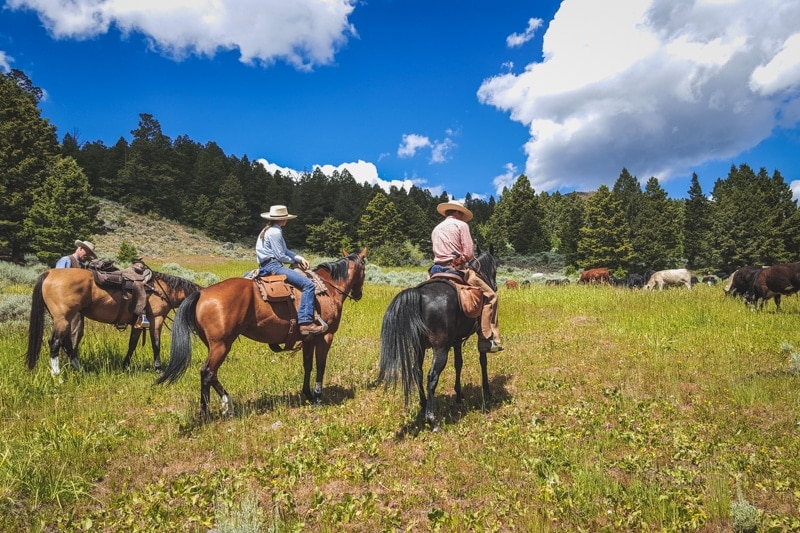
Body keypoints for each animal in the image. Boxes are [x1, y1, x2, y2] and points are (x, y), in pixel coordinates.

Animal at [26, 266, 202, 374]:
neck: (161, 289)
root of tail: (49, 273)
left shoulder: (138, 324)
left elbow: (132, 345)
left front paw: (126, 366)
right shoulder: (156, 319)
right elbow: (156, 344)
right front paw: (158, 368)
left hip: (66, 320)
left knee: (67, 343)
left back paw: (81, 370)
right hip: (63, 319)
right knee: (55, 343)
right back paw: (58, 376)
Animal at [156, 247, 368, 418]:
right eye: (365, 270)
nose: (358, 295)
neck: (326, 289)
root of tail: (202, 293)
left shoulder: (309, 338)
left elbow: (307, 366)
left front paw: (307, 394)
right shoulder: (325, 336)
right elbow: (321, 366)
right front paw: (317, 398)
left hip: (214, 345)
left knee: (211, 374)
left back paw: (228, 405)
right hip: (221, 345)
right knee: (207, 373)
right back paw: (206, 413)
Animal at [378, 249, 496, 428]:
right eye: (495, 269)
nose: (494, 286)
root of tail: (419, 294)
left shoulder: (456, 341)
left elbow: (458, 364)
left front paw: (459, 394)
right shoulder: (479, 333)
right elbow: (483, 361)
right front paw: (487, 391)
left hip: (419, 347)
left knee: (417, 371)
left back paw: (423, 404)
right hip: (440, 349)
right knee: (432, 376)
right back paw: (432, 420)